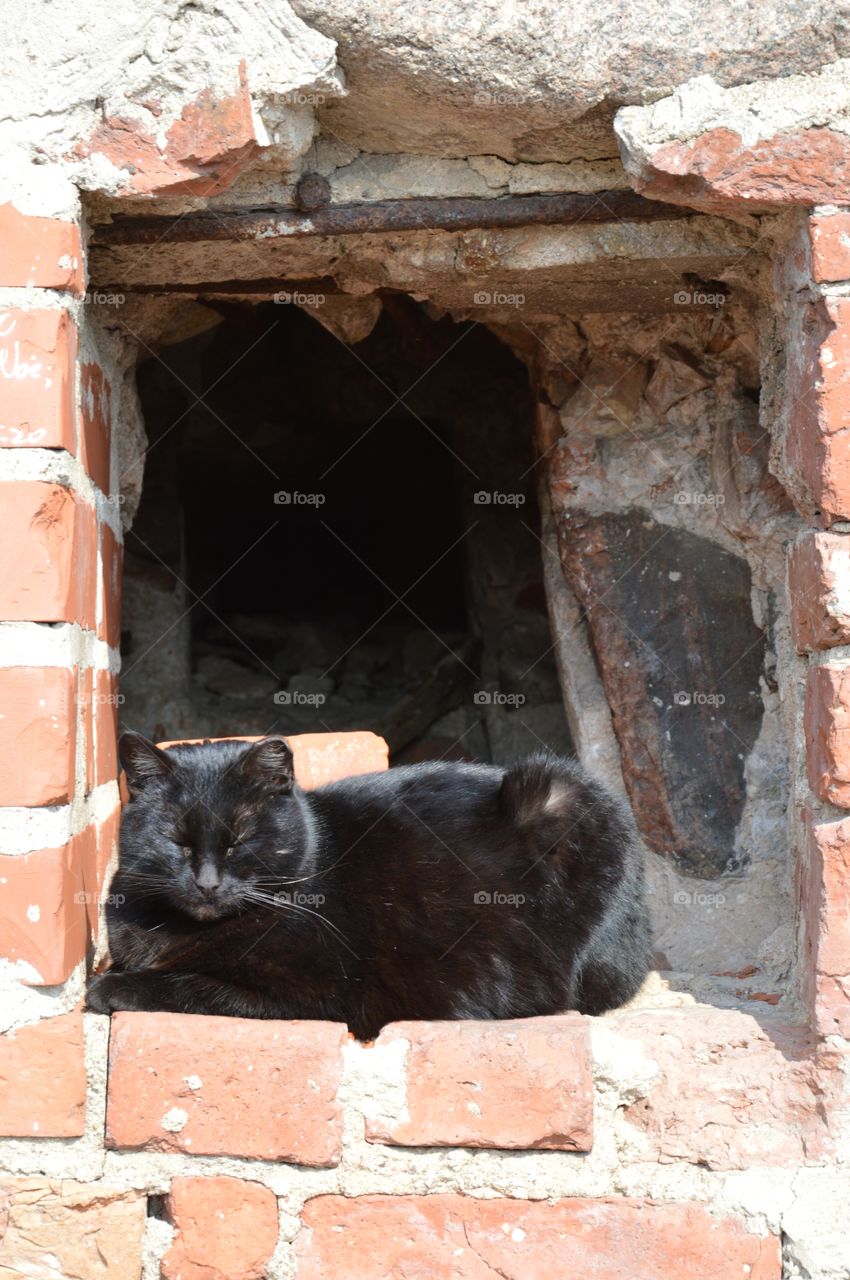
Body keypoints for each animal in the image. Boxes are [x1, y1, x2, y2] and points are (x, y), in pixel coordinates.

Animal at [87, 732, 650, 1039]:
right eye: (176, 840)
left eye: (239, 840)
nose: (206, 883)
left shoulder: (313, 993)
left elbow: (190, 983)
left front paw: (109, 987)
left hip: (559, 788)